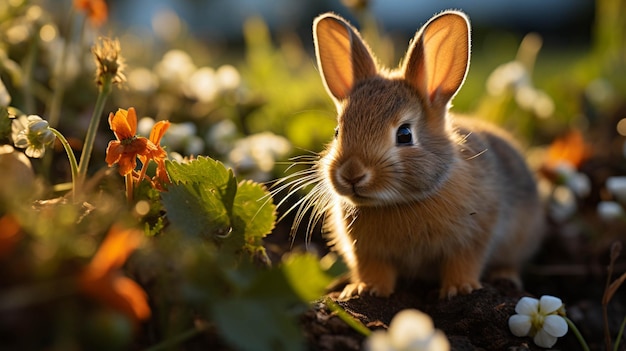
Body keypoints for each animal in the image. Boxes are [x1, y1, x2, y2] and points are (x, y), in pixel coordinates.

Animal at [282, 10, 540, 300]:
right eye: (337, 132)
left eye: (404, 134)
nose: (352, 174)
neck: (399, 202)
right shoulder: (367, 252)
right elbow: (373, 269)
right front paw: (365, 289)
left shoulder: (474, 237)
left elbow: (464, 262)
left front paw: (460, 289)